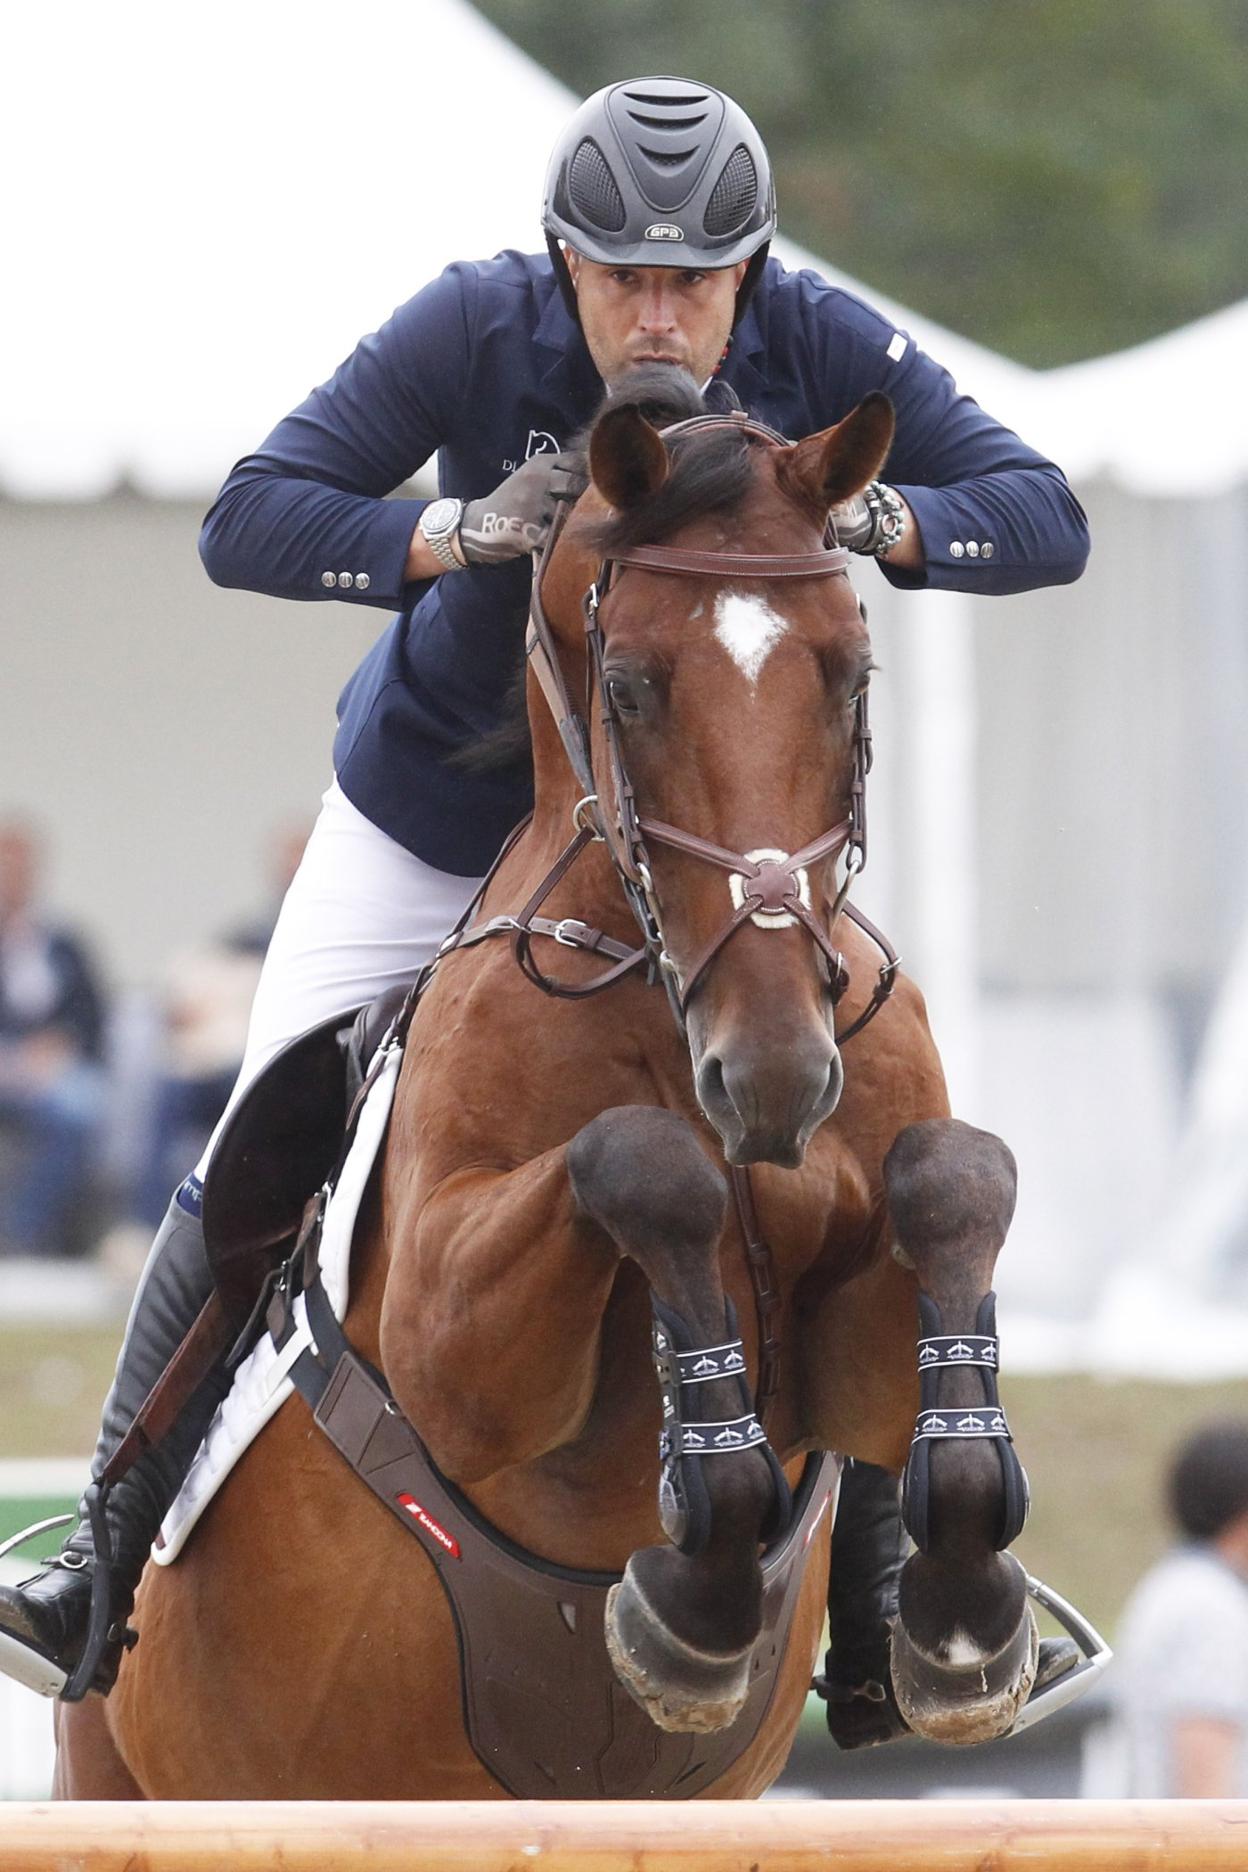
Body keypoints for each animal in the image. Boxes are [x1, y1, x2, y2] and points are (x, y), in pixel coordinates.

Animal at [56, 368, 1032, 1797]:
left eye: (854, 676)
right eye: (628, 689)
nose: (776, 1079)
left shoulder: (856, 1359)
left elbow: (954, 1174)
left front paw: (961, 1622)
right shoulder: (453, 1344)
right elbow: (638, 1159)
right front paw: (694, 1593)